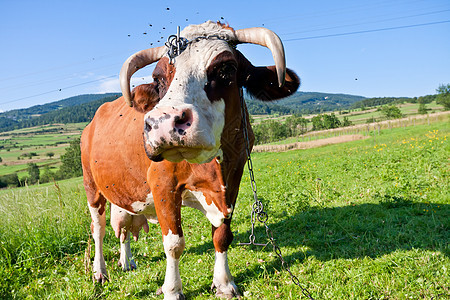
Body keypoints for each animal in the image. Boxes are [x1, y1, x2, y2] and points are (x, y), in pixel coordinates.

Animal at [81, 19, 298, 298]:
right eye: (158, 78)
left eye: (226, 68)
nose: (163, 123)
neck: (212, 169)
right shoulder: (163, 185)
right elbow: (173, 243)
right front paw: (172, 290)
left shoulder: (233, 179)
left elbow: (222, 235)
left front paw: (224, 283)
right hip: (92, 187)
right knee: (98, 229)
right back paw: (100, 272)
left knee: (124, 228)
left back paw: (126, 261)